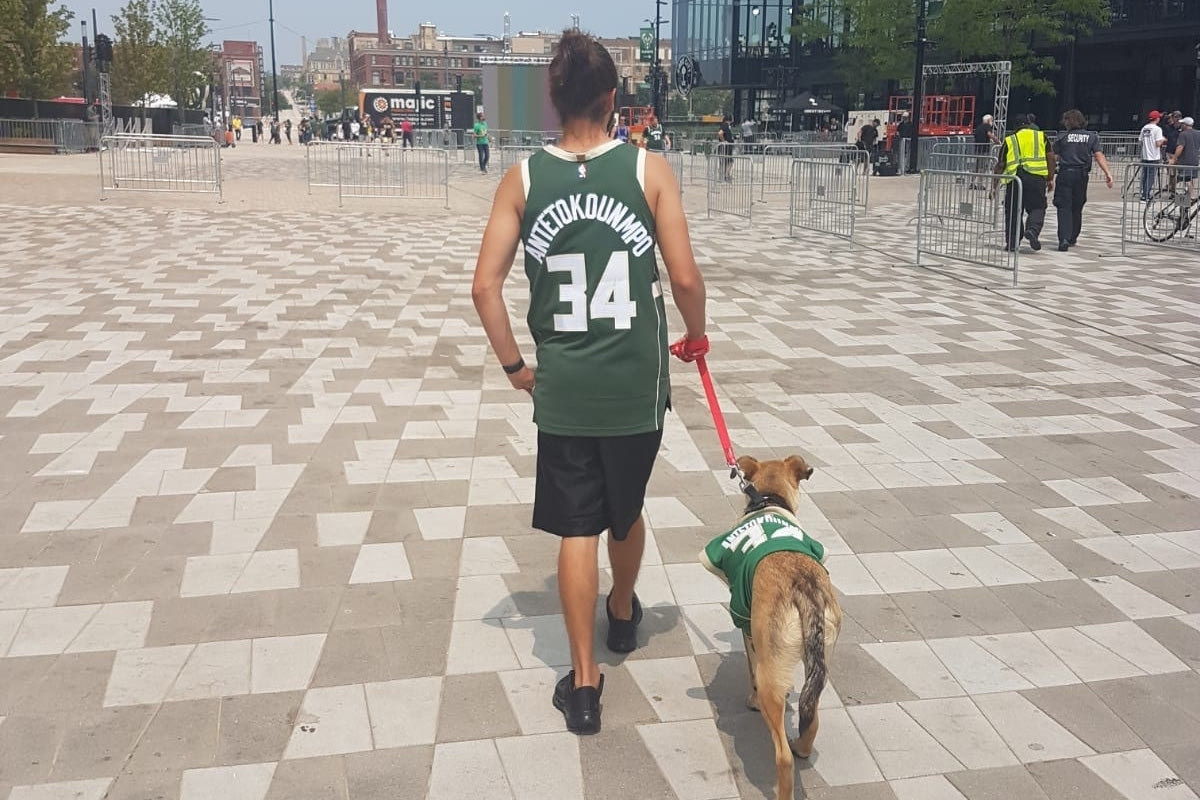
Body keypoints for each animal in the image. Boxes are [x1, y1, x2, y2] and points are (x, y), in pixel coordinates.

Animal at [699, 454, 842, 800]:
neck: (771, 500)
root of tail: (805, 587)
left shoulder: (747, 622)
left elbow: (749, 665)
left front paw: (749, 700)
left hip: (770, 669)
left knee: (782, 755)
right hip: (823, 655)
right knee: (812, 718)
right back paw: (803, 746)